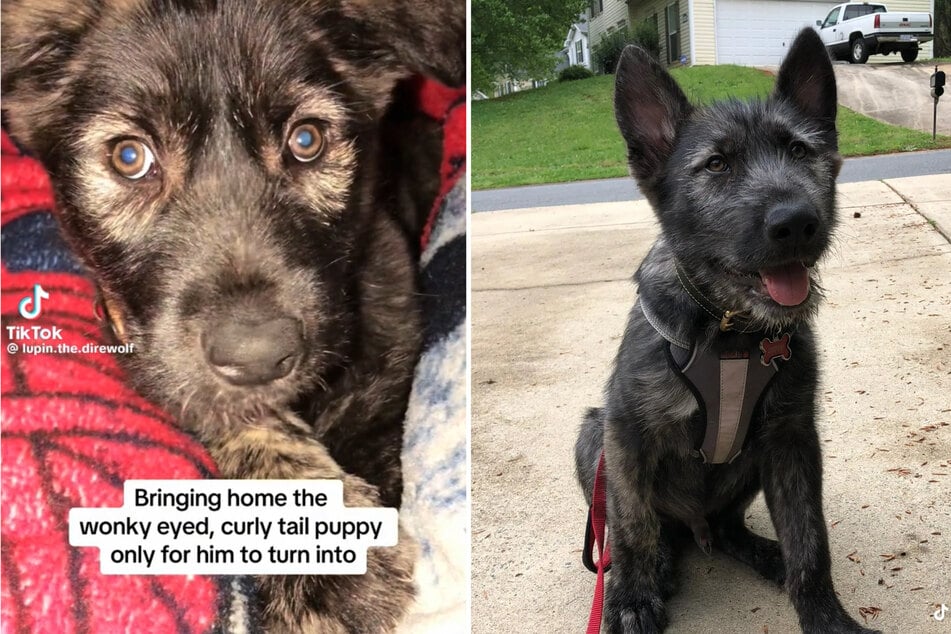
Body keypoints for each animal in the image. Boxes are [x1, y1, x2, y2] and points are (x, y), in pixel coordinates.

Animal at [572, 29, 876, 632]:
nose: (796, 223)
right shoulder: (625, 435)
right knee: (648, 530)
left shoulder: (791, 438)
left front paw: (824, 613)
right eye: (716, 164)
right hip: (590, 437)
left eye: (800, 151)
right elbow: (633, 524)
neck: (730, 331)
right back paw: (658, 566)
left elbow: (811, 539)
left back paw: (760, 550)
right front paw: (630, 597)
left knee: (728, 526)